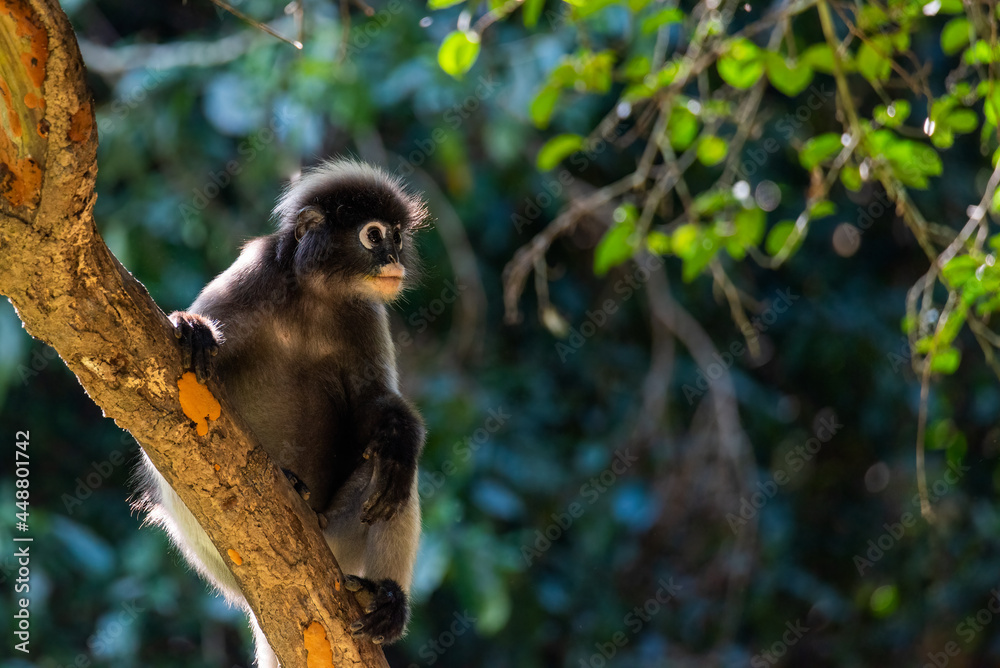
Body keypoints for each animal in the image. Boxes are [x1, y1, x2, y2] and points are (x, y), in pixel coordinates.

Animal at [135, 159, 428, 668]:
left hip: (339, 544)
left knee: (394, 478)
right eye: (373, 235)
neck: (314, 297)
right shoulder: (253, 276)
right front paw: (193, 328)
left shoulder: (365, 312)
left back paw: (386, 598)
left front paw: (401, 436)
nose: (395, 258)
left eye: (396, 235)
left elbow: (375, 407)